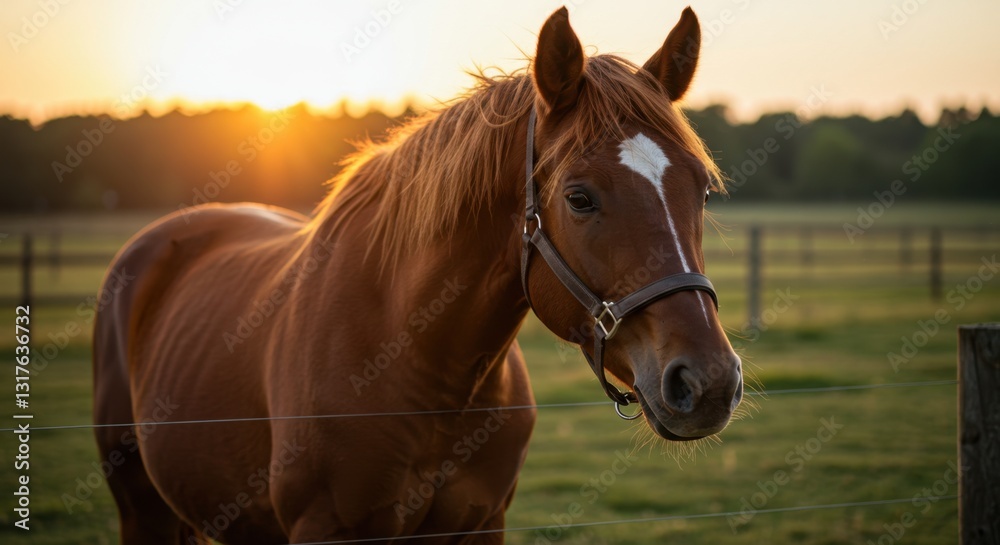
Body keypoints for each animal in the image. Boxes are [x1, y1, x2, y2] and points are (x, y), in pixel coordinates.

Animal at [93, 6, 742, 543]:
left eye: (702, 190)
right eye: (579, 198)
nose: (708, 382)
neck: (423, 367)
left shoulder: (481, 525)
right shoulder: (325, 528)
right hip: (140, 508)